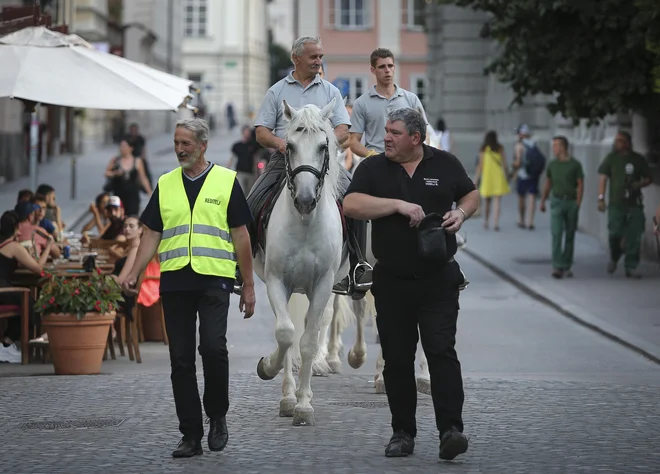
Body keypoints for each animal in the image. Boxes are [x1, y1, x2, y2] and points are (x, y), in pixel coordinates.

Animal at [253, 99, 348, 426]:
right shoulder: (276, 281)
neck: (305, 223)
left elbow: (307, 342)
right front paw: (269, 369)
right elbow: (286, 334)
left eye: (323, 146)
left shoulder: (323, 286)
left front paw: (305, 405)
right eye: (290, 146)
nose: (305, 200)